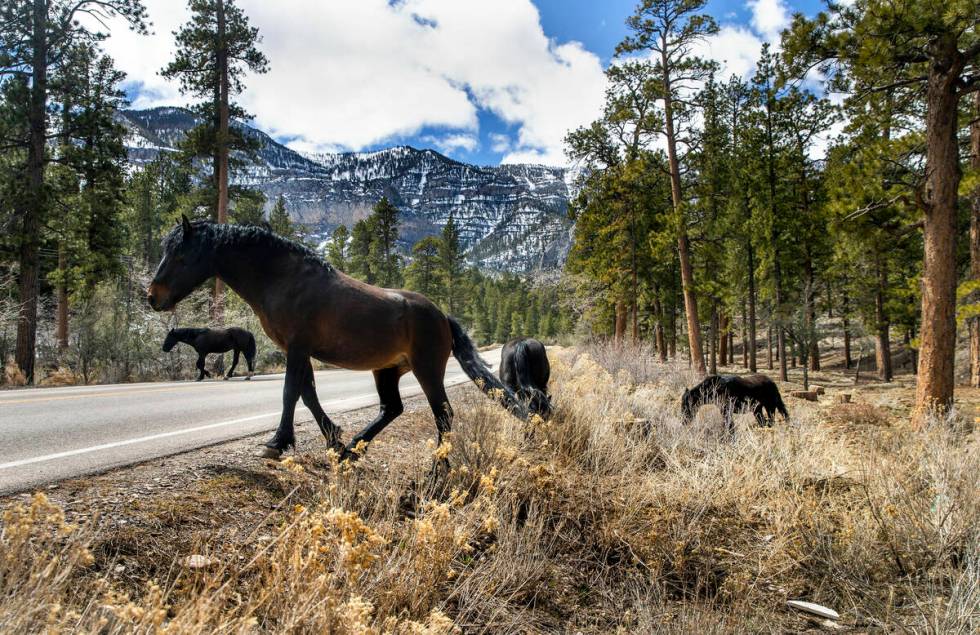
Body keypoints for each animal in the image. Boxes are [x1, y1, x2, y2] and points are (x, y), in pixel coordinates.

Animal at [147, 216, 528, 460]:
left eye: (181, 255)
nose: (152, 297)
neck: (283, 279)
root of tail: (441, 316)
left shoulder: (297, 348)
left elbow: (290, 393)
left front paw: (277, 442)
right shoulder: (299, 351)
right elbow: (308, 395)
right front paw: (333, 439)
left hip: (427, 370)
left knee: (444, 416)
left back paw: (439, 464)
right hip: (387, 370)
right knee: (392, 408)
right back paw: (354, 450)